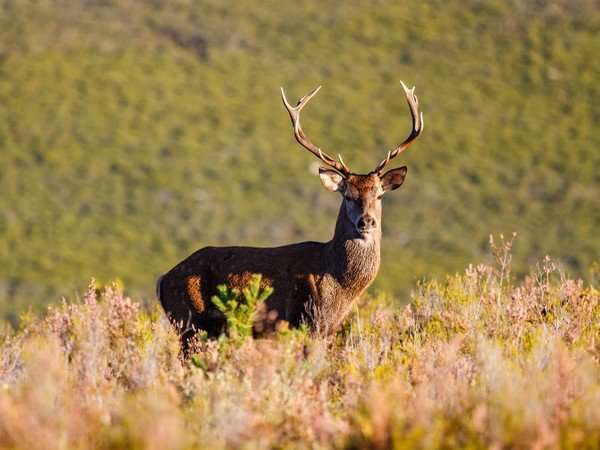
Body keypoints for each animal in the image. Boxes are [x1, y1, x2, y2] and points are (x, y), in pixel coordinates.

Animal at [157, 81, 424, 344]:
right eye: (347, 195)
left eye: (379, 195)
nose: (366, 222)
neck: (339, 284)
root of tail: (162, 281)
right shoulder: (308, 320)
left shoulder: (329, 328)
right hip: (189, 323)